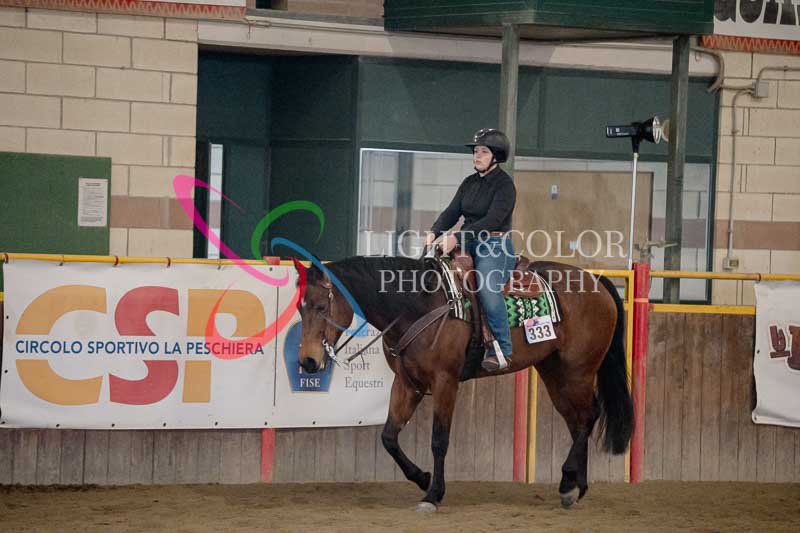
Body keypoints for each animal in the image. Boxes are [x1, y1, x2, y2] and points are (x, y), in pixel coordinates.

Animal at [293, 254, 633, 512]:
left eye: (321, 307)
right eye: (300, 307)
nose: (307, 361)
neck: (418, 304)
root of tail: (596, 281)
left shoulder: (446, 382)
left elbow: (439, 439)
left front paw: (433, 495)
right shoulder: (407, 383)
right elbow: (389, 437)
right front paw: (423, 478)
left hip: (578, 370)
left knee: (588, 417)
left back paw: (568, 481)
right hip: (554, 372)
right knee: (577, 423)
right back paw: (574, 488)